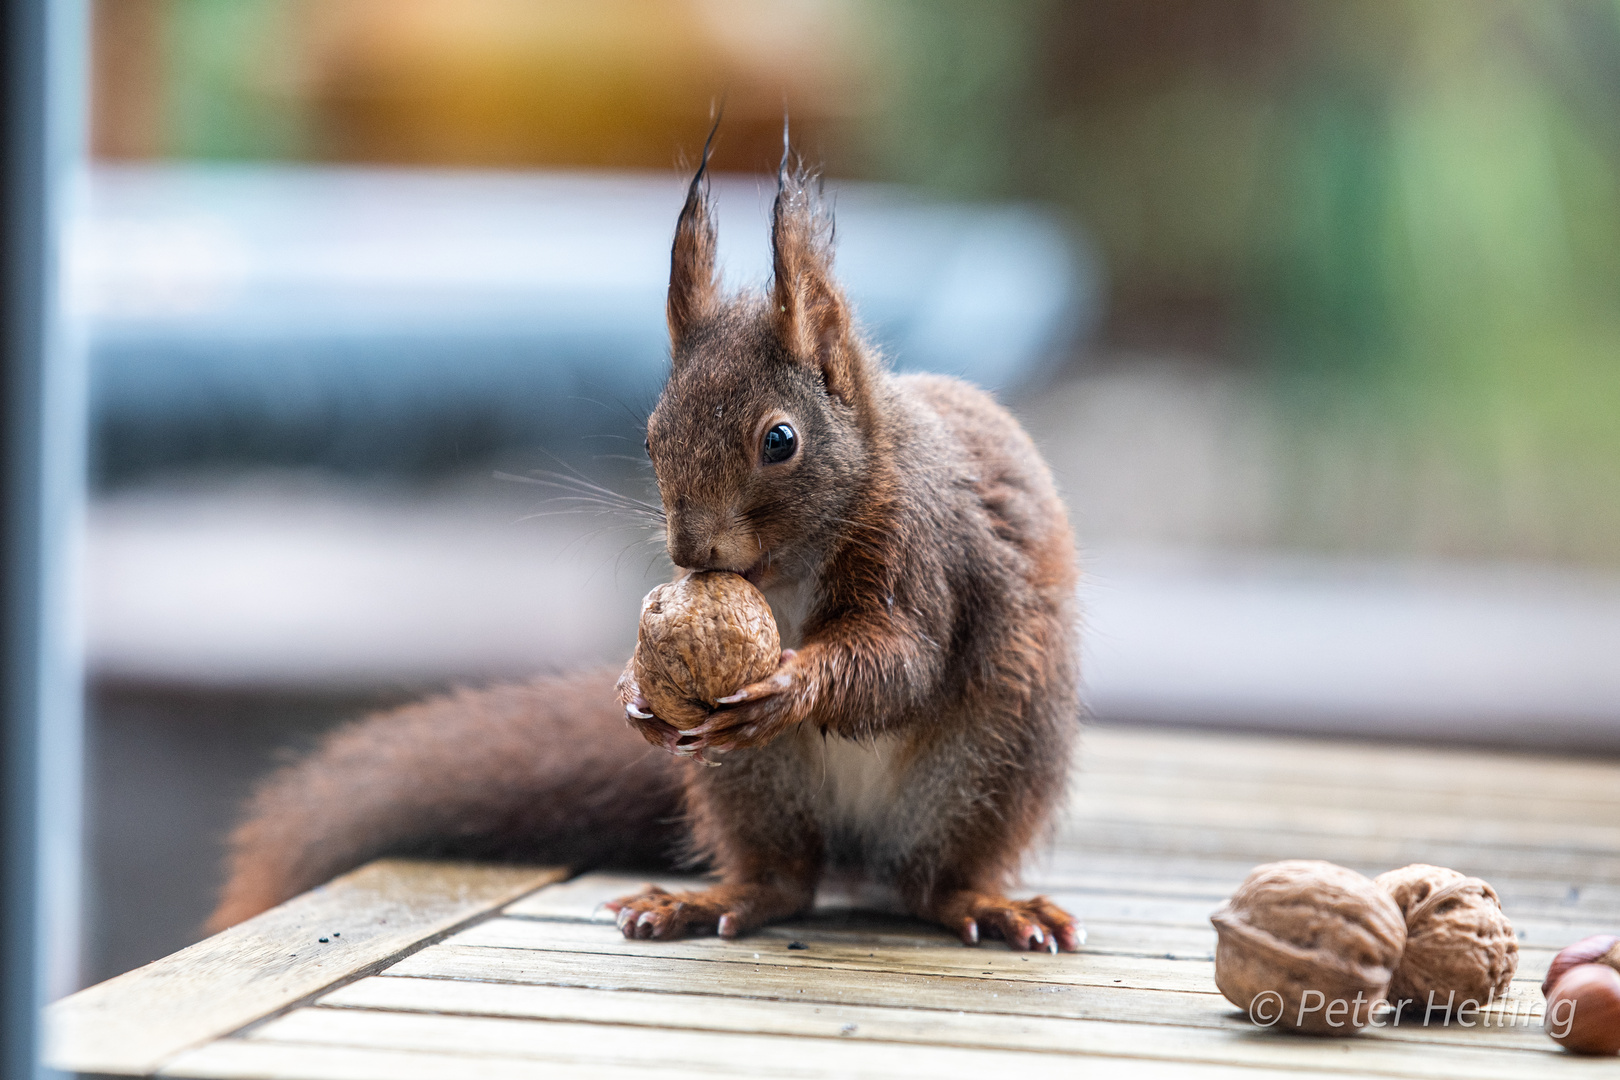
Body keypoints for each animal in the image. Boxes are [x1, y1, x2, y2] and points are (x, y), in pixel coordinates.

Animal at [208, 135, 1082, 952]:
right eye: (653, 436)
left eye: (781, 440)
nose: (691, 553)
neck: (794, 564)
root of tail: (858, 853)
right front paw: (634, 687)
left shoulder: (921, 544)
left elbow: (903, 659)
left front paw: (792, 685)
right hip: (752, 781)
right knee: (785, 881)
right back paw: (713, 900)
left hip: (986, 766)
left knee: (929, 881)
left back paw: (982, 904)